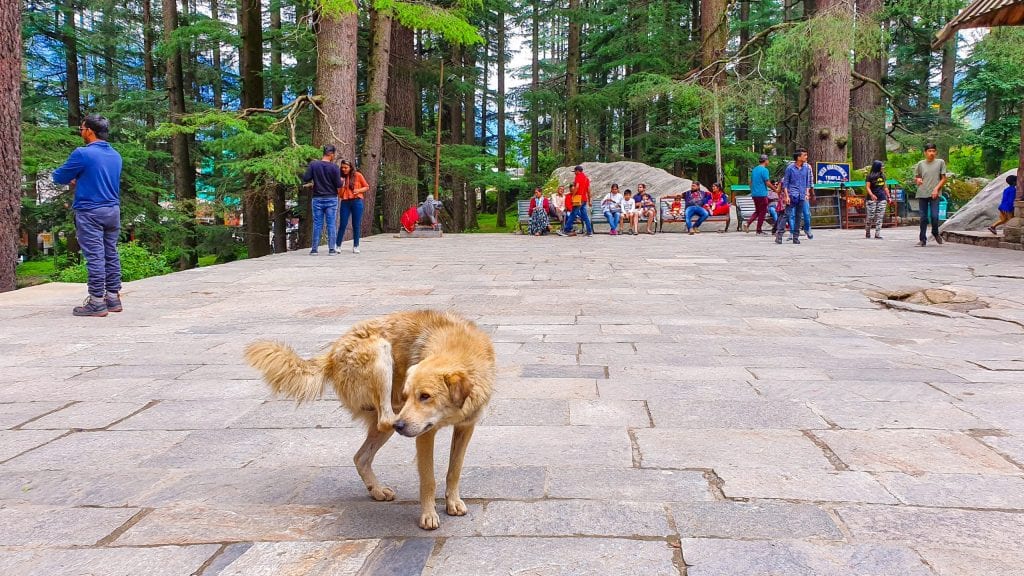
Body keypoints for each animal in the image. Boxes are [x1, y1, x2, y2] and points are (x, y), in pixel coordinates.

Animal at [243, 311, 491, 528]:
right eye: (408, 395)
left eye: (425, 396)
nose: (402, 424)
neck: (460, 348)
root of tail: (332, 353)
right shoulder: (424, 434)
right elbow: (428, 479)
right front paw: (428, 515)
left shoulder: (466, 427)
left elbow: (454, 469)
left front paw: (452, 502)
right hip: (380, 353)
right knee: (384, 419)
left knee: (361, 456)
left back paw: (377, 489)